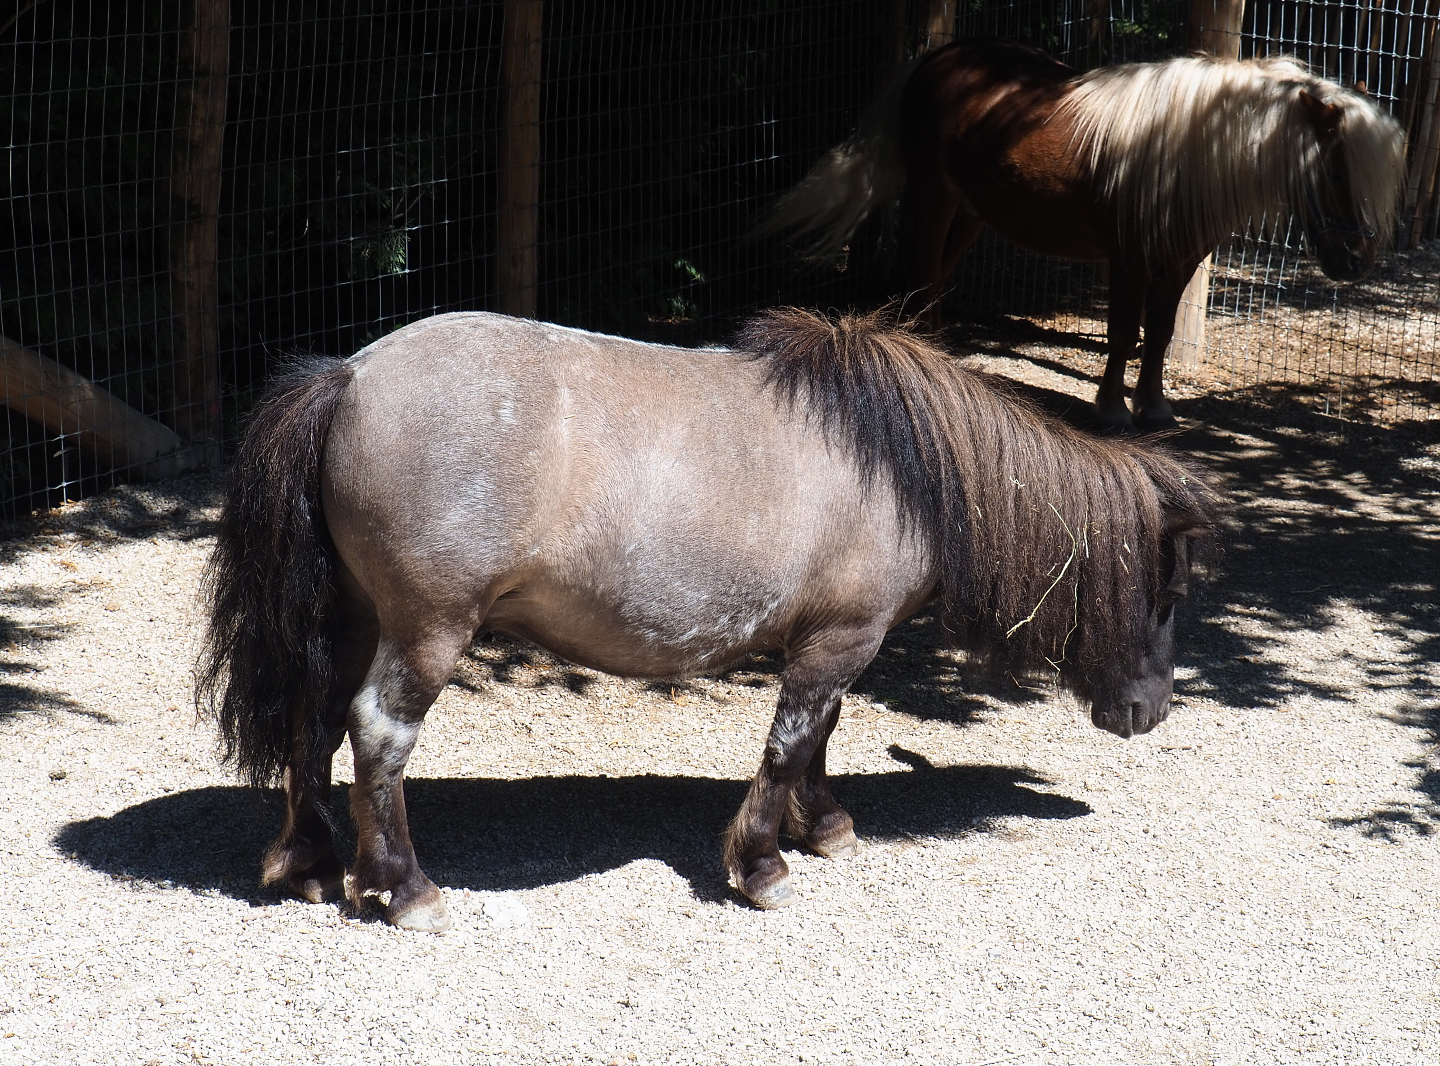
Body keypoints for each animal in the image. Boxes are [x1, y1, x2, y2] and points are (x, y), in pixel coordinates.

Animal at [197, 307, 1220, 931]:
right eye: (1166, 593)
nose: (1151, 712)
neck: (905, 468)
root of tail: (350, 375)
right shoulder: (839, 643)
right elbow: (788, 745)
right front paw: (764, 865)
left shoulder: (829, 644)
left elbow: (818, 740)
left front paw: (824, 825)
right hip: (426, 629)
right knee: (378, 733)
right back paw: (405, 888)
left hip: (353, 617)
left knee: (312, 720)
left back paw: (312, 862)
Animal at [762, 40, 1406, 432]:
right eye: (1336, 170)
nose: (1357, 259)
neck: (1184, 154)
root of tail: (938, 58)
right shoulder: (1129, 261)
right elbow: (1122, 334)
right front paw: (1113, 410)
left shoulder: (1178, 264)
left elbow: (1159, 334)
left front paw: (1153, 407)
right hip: (933, 198)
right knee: (919, 275)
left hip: (972, 212)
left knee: (935, 278)